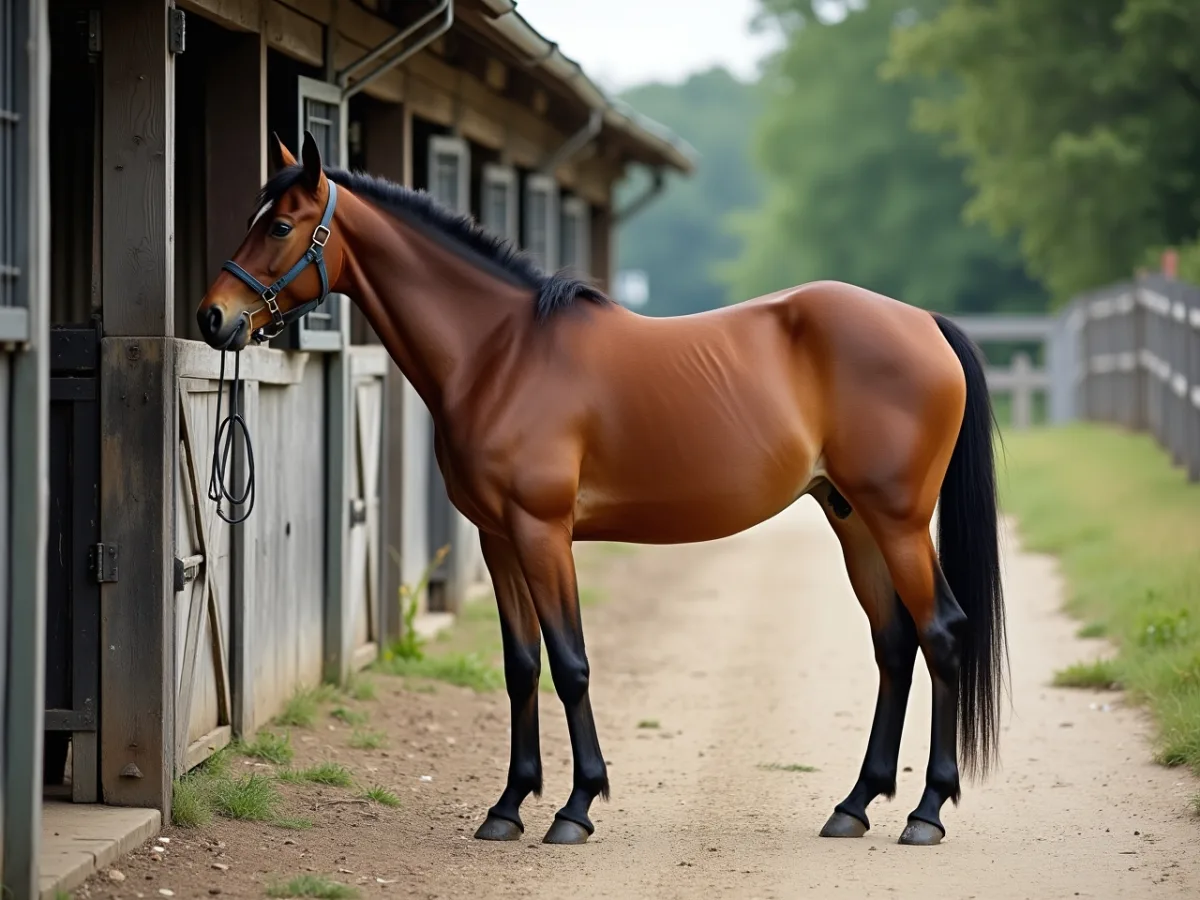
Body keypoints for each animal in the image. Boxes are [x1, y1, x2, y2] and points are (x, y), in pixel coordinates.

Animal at [197, 132, 1007, 848]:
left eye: (278, 224)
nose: (213, 317)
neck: (500, 355)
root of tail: (923, 323)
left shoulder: (542, 532)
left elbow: (571, 663)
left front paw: (576, 807)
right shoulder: (498, 538)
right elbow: (522, 665)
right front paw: (508, 806)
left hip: (898, 522)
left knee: (940, 634)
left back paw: (926, 812)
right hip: (852, 520)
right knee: (894, 643)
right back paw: (855, 804)